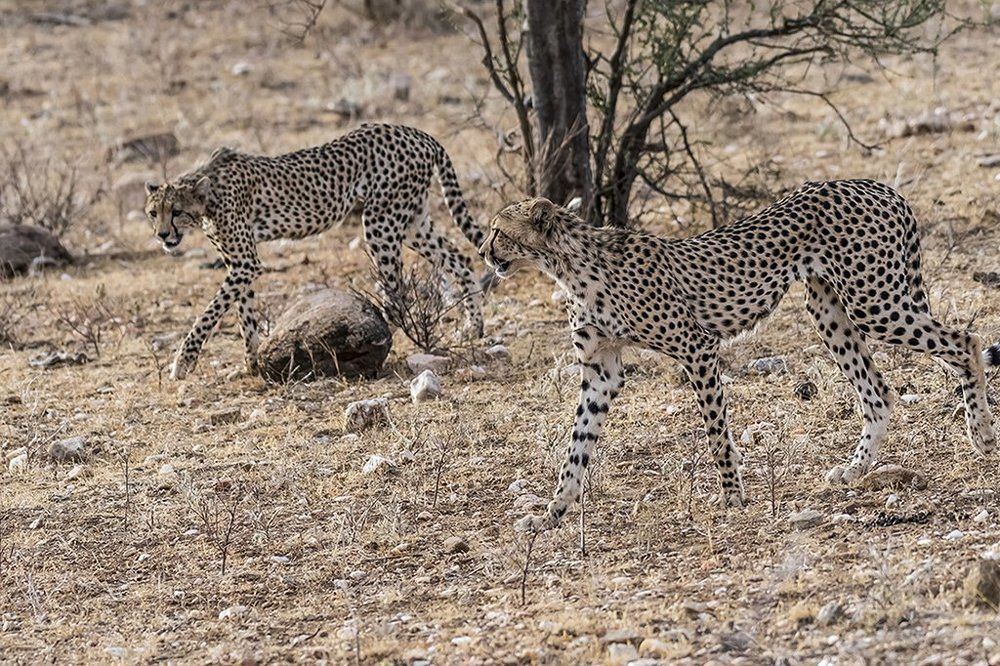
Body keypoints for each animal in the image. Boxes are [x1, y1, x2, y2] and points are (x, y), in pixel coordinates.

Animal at [143, 123, 486, 380]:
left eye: (176, 212)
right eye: (152, 213)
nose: (162, 235)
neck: (206, 194)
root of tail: (418, 133)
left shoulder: (245, 262)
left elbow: (210, 312)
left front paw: (183, 361)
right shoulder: (240, 264)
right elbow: (245, 314)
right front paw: (251, 364)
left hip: (381, 222)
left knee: (398, 293)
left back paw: (380, 338)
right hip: (413, 221)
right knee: (461, 259)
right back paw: (473, 328)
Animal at [479, 180, 1000, 533]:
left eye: (498, 231)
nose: (483, 252)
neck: (568, 265)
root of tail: (877, 185)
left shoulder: (697, 348)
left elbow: (715, 436)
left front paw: (732, 496)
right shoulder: (600, 371)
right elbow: (576, 448)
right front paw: (554, 511)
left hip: (875, 303)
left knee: (966, 341)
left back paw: (982, 437)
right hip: (828, 308)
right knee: (878, 392)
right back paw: (855, 469)